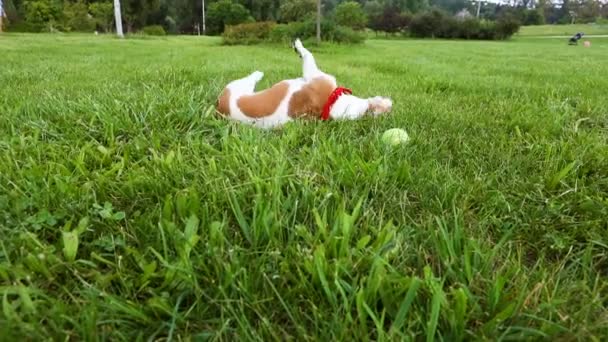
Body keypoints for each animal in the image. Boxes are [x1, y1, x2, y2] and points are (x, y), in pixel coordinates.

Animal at [216, 37, 392, 128]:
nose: (391, 103)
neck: (331, 104)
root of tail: (218, 108)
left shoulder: (313, 73)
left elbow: (307, 54)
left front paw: (298, 45)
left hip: (237, 85)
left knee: (251, 78)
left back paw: (258, 73)